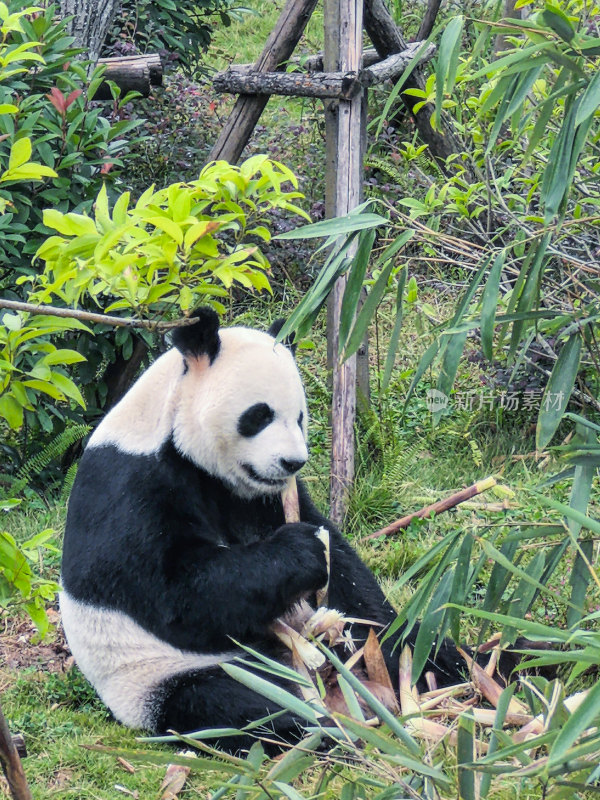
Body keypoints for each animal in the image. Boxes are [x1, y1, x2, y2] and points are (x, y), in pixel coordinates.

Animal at [58, 306, 466, 752]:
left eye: (300, 417)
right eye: (258, 415)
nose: (292, 462)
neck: (174, 437)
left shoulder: (259, 496)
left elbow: (349, 577)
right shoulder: (129, 485)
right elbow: (174, 592)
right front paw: (302, 552)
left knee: (426, 647)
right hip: (163, 676)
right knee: (234, 704)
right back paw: (326, 729)